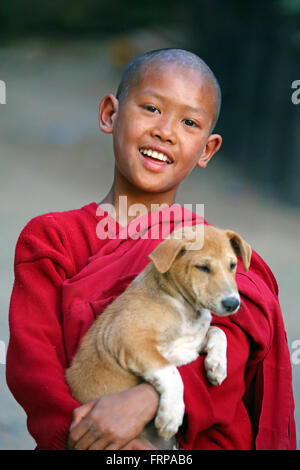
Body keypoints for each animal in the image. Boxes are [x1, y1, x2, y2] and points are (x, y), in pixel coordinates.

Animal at [65, 226, 251, 450]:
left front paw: (217, 365)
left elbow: (218, 332)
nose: (233, 304)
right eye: (202, 267)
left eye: (232, 265)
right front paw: (171, 416)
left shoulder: (192, 343)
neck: (184, 307)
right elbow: (170, 372)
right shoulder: (128, 337)